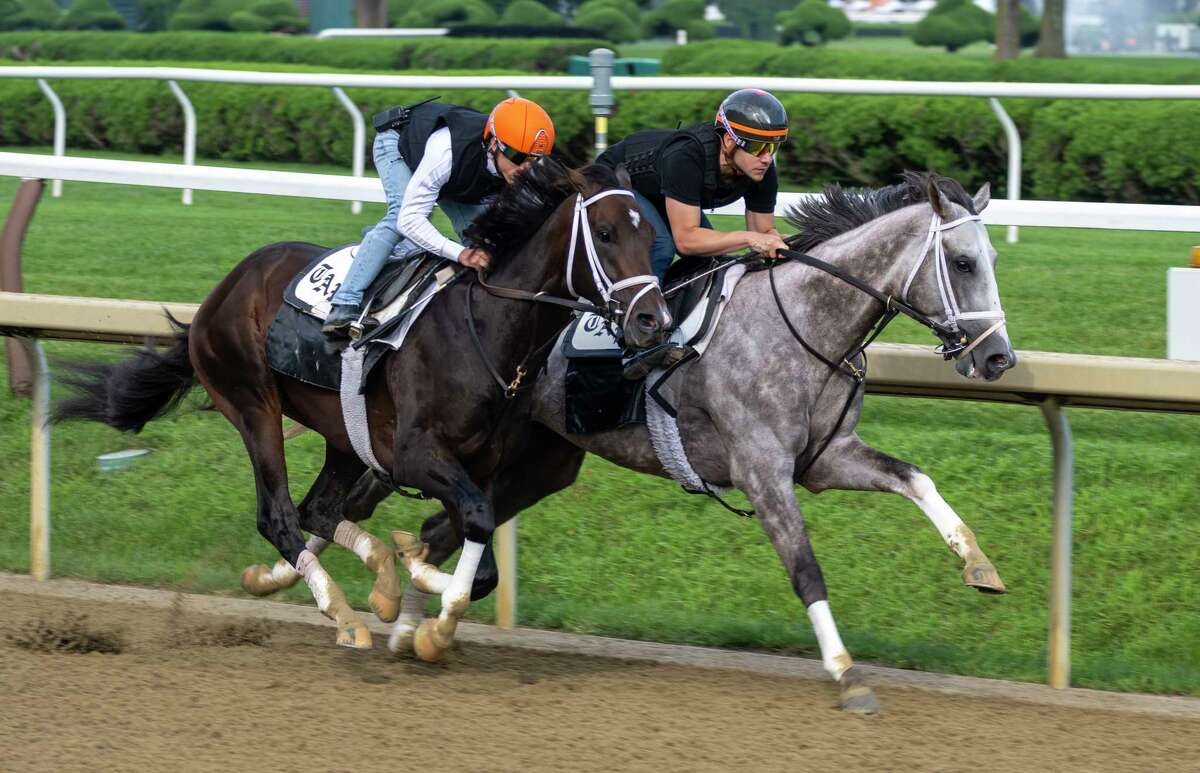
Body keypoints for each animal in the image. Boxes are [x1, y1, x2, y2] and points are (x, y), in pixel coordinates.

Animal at [56, 159, 672, 652]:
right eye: (606, 233)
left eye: (650, 235)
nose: (653, 320)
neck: (486, 328)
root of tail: (221, 292)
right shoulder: (416, 456)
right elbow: (469, 534)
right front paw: (428, 609)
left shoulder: (478, 467)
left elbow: (476, 550)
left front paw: (412, 582)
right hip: (252, 403)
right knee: (279, 515)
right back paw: (346, 616)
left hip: (344, 435)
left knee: (319, 510)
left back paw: (377, 584)